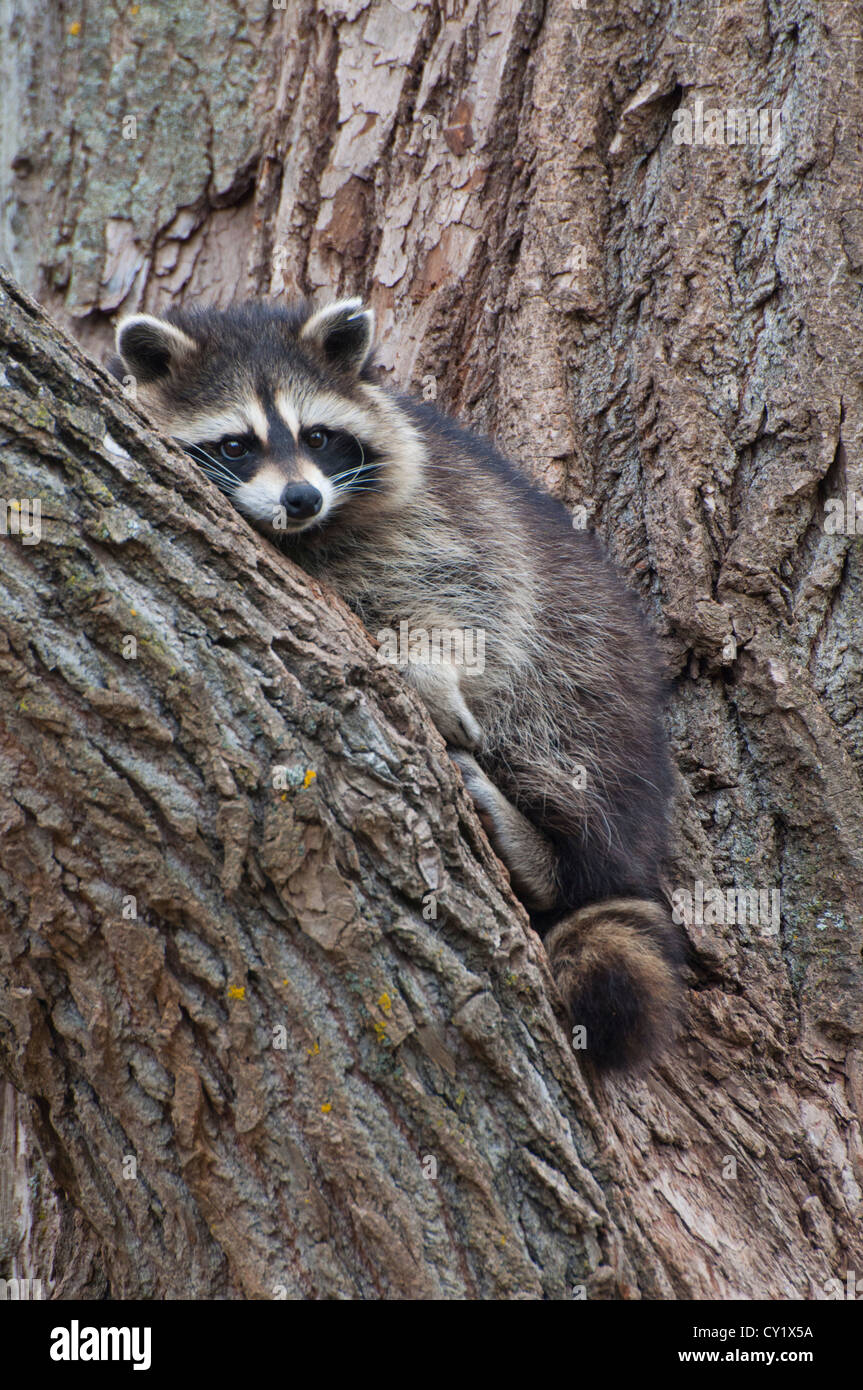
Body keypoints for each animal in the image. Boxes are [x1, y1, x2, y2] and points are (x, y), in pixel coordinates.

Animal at [111, 296, 683, 1073]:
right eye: (235, 446)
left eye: (318, 437)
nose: (301, 497)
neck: (297, 536)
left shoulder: (445, 513)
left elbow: (473, 600)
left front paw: (429, 665)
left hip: (595, 681)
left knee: (574, 755)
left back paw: (557, 859)